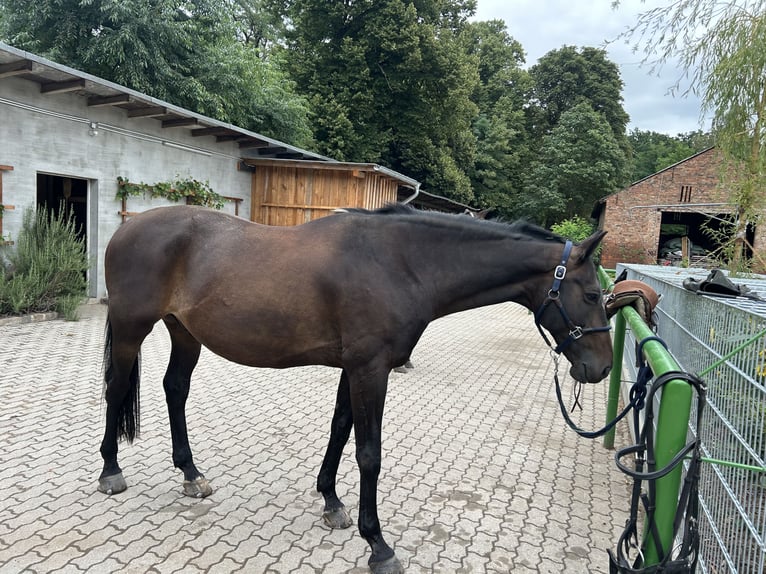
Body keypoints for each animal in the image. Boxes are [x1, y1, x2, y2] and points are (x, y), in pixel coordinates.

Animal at [98, 204, 612, 574]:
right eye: (591, 295)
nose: (601, 368)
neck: (401, 263)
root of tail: (129, 226)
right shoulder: (370, 369)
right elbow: (369, 453)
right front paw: (378, 544)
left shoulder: (355, 367)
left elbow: (340, 429)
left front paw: (331, 501)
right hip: (131, 328)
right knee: (115, 389)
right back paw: (111, 471)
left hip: (184, 332)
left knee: (175, 389)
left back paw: (190, 473)